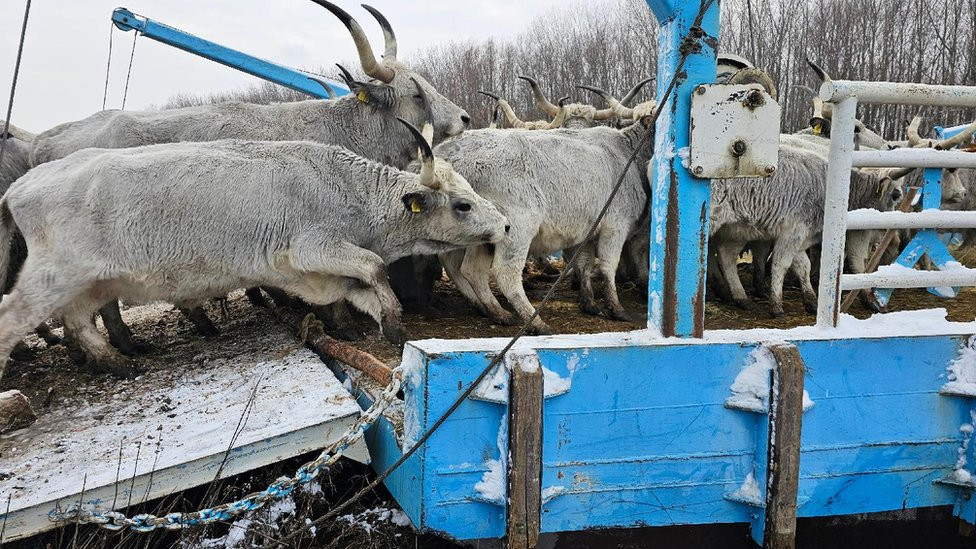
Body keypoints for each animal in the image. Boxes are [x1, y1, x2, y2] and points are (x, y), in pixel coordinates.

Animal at [0, 120, 504, 378]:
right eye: (462, 205)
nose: (502, 222)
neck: (345, 186)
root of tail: (24, 183)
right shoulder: (311, 247)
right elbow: (374, 267)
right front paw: (395, 322)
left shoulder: (310, 270)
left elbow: (354, 288)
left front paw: (365, 323)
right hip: (52, 277)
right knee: (16, 318)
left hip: (89, 283)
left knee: (79, 322)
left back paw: (117, 361)